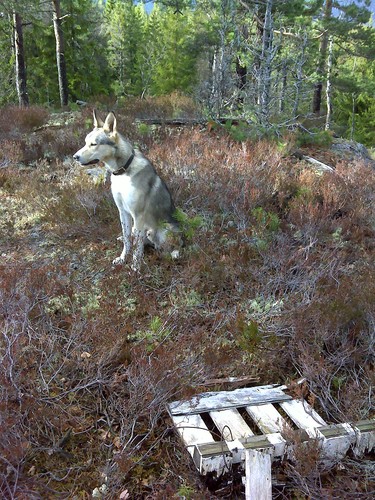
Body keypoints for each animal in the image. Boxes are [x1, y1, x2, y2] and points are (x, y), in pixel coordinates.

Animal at [74, 110, 182, 270]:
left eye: (94, 144)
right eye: (85, 142)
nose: (75, 157)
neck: (122, 172)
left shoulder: (138, 215)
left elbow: (137, 246)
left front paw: (135, 266)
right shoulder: (123, 211)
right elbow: (127, 239)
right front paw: (123, 258)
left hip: (162, 230)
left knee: (168, 248)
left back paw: (172, 253)